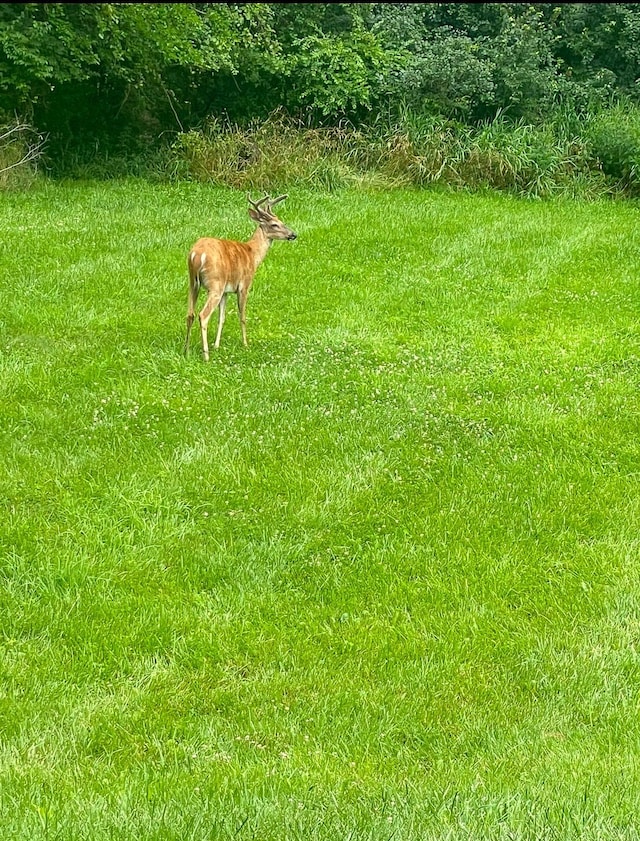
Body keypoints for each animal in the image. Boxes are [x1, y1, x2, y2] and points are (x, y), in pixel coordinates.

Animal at [184, 192, 296, 360]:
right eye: (274, 224)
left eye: (282, 221)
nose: (293, 234)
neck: (253, 254)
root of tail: (196, 255)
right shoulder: (244, 284)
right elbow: (242, 315)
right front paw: (245, 344)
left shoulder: (226, 291)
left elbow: (221, 317)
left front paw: (217, 345)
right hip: (215, 284)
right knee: (203, 315)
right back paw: (206, 356)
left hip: (193, 283)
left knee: (190, 314)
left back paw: (186, 350)